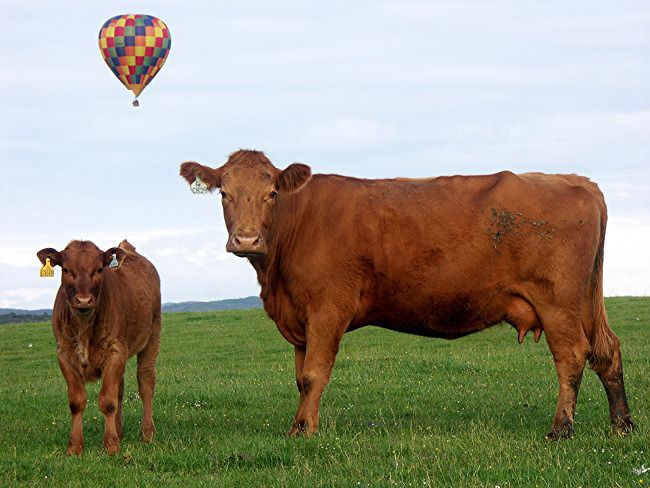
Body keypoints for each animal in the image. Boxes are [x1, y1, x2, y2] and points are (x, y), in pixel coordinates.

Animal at [36, 240, 161, 455]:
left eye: (99, 269)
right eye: (66, 269)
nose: (84, 300)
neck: (84, 327)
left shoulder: (115, 350)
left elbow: (108, 401)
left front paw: (111, 445)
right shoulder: (64, 354)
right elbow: (77, 401)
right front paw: (75, 447)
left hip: (152, 335)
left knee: (145, 383)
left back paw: (147, 433)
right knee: (120, 390)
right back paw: (120, 432)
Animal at [180, 149, 634, 439]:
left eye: (272, 193)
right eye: (224, 193)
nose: (246, 239)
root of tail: (576, 180)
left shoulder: (327, 308)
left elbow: (313, 376)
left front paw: (304, 432)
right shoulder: (300, 318)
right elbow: (300, 378)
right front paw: (299, 425)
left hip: (557, 302)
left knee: (572, 355)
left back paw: (561, 430)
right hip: (586, 300)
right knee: (607, 350)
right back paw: (621, 426)